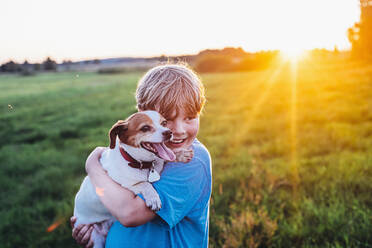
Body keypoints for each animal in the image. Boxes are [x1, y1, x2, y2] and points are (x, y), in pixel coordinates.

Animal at [74, 111, 193, 248]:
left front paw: (180, 154)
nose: (169, 132)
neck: (142, 163)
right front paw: (153, 198)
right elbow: (145, 184)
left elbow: (166, 157)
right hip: (96, 238)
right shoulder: (126, 185)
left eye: (164, 123)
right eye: (145, 128)